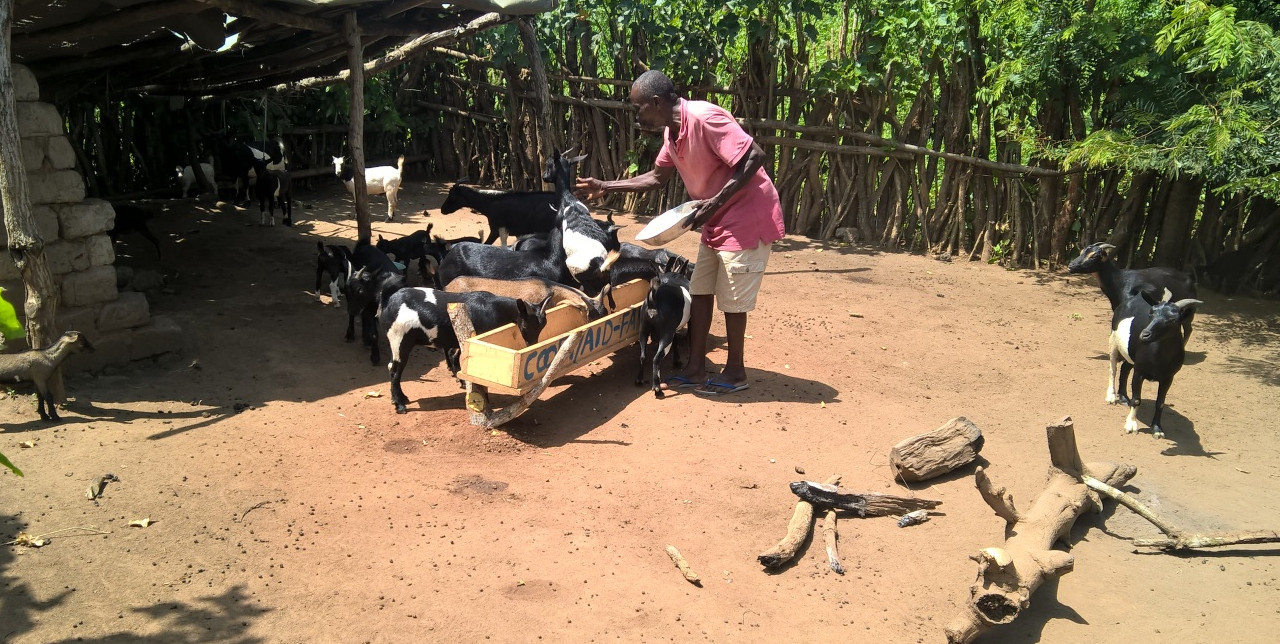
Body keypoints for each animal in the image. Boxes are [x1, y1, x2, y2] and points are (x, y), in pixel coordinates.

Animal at [376, 290, 552, 414]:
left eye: (543, 325)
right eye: (526, 325)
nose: (532, 343)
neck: (495, 308)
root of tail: (389, 304)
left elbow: (457, 357)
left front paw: (463, 382)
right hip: (399, 338)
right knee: (395, 369)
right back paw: (400, 404)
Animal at [540, 149, 619, 295]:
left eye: (549, 164)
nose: (544, 177)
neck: (568, 200)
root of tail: (600, 264)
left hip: (581, 276)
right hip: (608, 280)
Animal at [632, 257, 691, 399]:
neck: (674, 275)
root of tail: (654, 300)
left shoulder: (673, 329)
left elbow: (676, 342)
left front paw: (677, 360)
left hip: (643, 331)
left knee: (643, 355)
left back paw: (639, 379)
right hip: (666, 337)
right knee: (656, 359)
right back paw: (657, 388)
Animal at [1064, 240, 1192, 343]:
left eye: (1093, 256)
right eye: (1081, 252)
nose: (1070, 265)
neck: (1119, 281)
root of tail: (1190, 280)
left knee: (1188, 329)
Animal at [1105, 289, 1203, 440]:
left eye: (1173, 320)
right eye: (1151, 314)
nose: (1144, 335)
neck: (1159, 358)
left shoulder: (1168, 378)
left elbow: (1160, 402)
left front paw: (1157, 429)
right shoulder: (1139, 373)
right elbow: (1137, 399)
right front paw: (1131, 425)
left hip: (1131, 354)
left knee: (1125, 368)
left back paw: (1123, 398)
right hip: (1114, 340)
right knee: (1113, 368)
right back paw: (1111, 396)